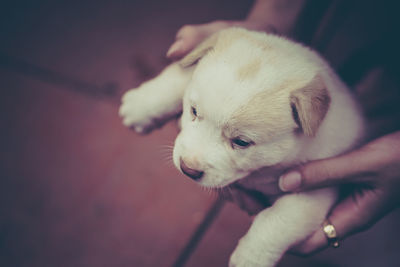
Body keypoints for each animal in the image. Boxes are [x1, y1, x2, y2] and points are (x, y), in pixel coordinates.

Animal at [119, 27, 366, 267]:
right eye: (193, 111)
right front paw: (142, 105)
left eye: (241, 142)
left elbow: (278, 220)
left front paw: (251, 257)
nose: (187, 169)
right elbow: (182, 76)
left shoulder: (314, 191)